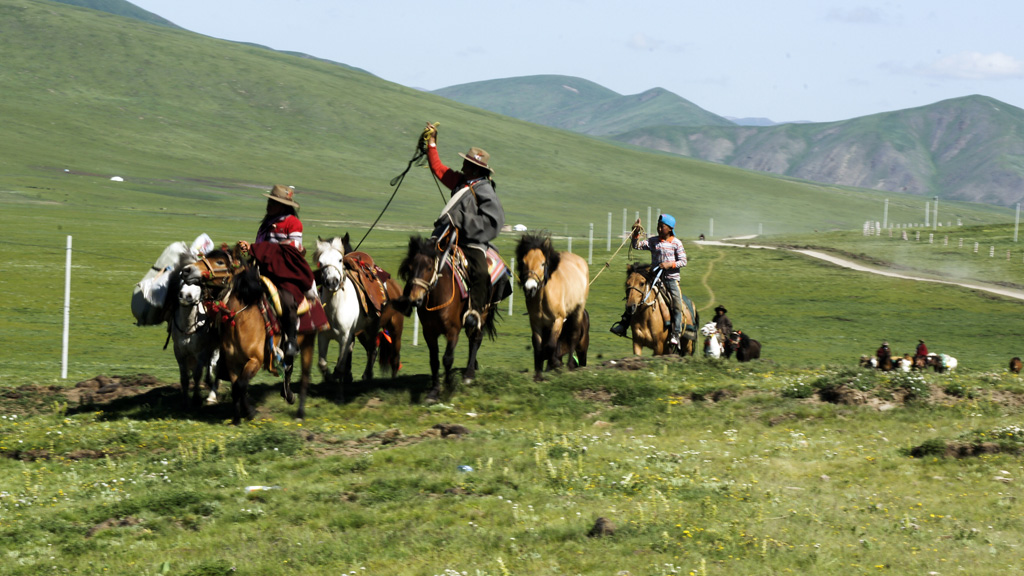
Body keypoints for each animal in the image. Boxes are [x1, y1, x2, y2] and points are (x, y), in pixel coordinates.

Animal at [397, 235, 497, 401]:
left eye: (429, 268)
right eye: (410, 268)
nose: (415, 299)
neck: (437, 297)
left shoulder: (452, 331)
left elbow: (447, 358)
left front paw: (449, 387)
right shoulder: (429, 332)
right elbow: (434, 360)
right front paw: (433, 392)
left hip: (482, 314)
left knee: (476, 339)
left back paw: (469, 374)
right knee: (472, 340)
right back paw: (472, 366)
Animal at [516, 230, 589, 379]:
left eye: (543, 263)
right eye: (523, 262)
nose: (530, 288)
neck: (543, 298)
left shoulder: (558, 320)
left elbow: (550, 346)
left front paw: (555, 363)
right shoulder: (536, 322)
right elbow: (538, 346)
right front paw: (538, 374)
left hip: (578, 311)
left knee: (573, 336)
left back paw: (570, 365)